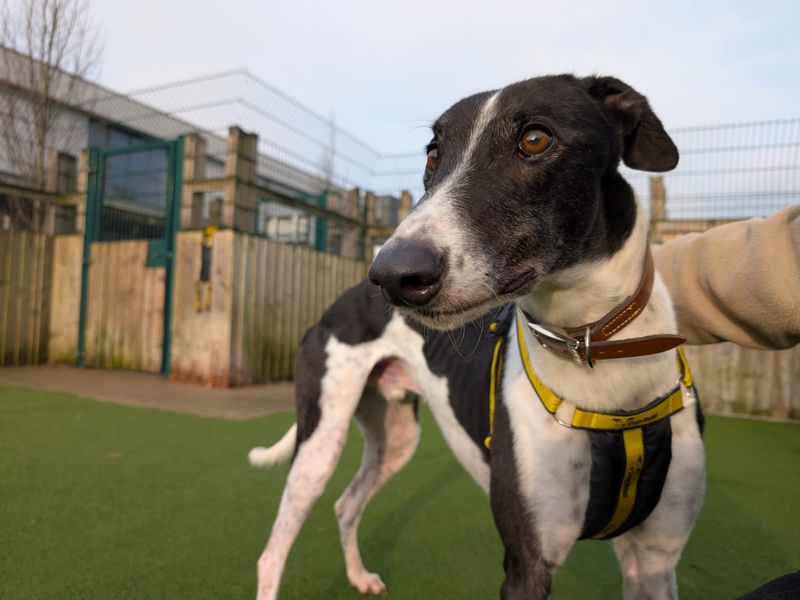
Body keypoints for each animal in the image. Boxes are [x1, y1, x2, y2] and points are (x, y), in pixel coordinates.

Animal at [250, 75, 708, 600]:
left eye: (535, 139)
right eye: (433, 154)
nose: (392, 276)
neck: (591, 347)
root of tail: (340, 299)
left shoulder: (654, 559)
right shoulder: (526, 562)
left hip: (396, 436)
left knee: (346, 504)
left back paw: (359, 576)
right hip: (320, 440)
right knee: (273, 550)